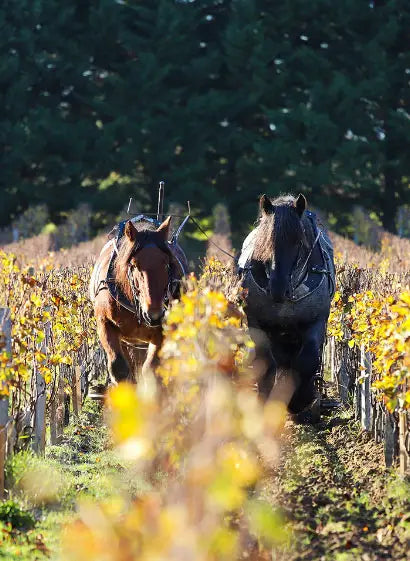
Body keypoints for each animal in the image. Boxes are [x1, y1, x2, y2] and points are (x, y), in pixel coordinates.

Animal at [89, 215, 187, 384]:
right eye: (134, 265)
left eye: (167, 263)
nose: (154, 315)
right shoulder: (105, 323)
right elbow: (119, 368)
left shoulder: (163, 329)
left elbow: (151, 370)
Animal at [237, 194, 336, 420]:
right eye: (265, 242)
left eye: (298, 242)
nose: (277, 288)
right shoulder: (257, 322)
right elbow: (266, 361)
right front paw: (266, 399)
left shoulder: (316, 320)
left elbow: (308, 359)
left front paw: (300, 400)